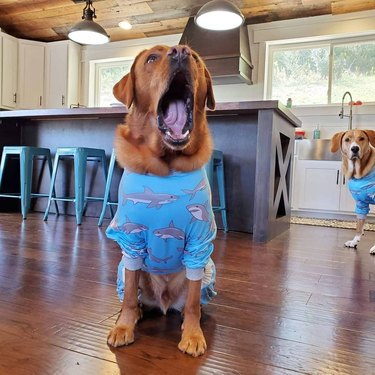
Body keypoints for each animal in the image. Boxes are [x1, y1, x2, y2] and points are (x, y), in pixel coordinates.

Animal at [106, 45, 217, 356]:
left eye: (195, 58)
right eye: (152, 58)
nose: (180, 51)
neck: (166, 166)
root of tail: (164, 302)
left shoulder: (199, 242)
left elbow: (191, 302)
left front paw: (192, 334)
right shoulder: (130, 241)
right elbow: (129, 298)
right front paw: (124, 326)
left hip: (208, 269)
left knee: (192, 300)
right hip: (123, 269)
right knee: (133, 295)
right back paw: (139, 312)